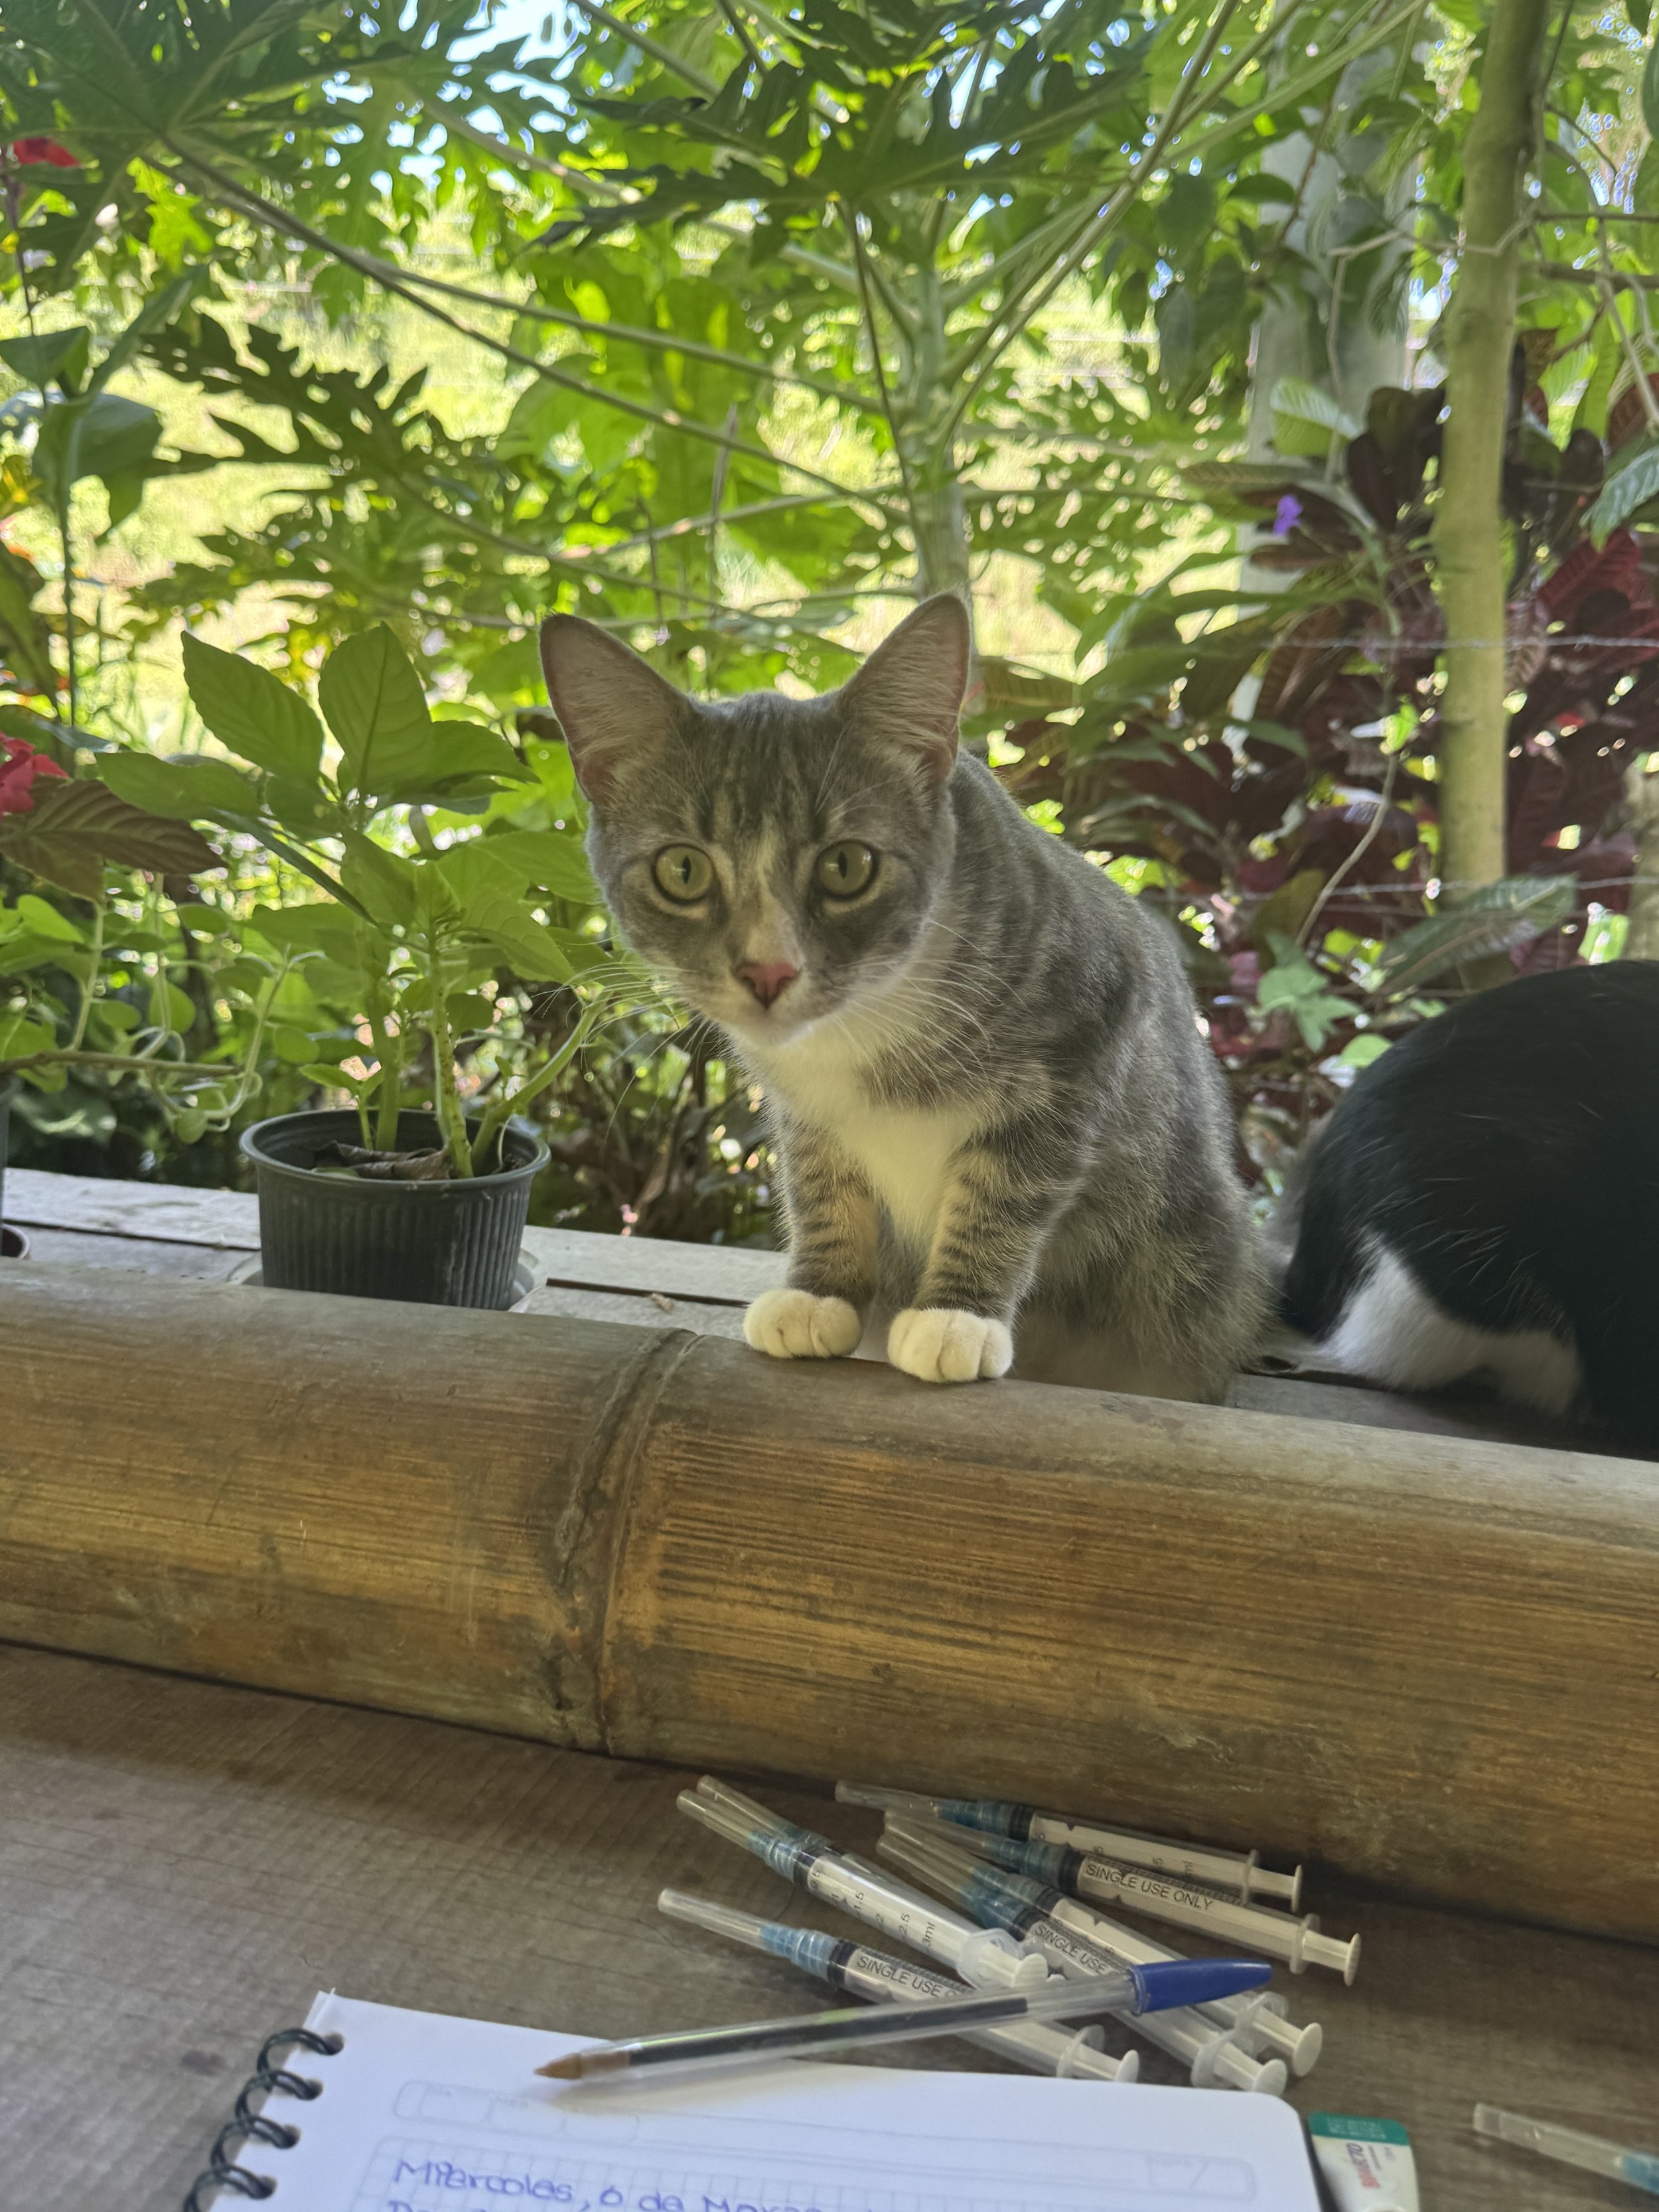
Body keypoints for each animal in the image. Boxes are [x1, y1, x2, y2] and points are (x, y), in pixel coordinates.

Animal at [539, 593, 1268, 1395]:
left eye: (847, 865)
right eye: (683, 871)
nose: (769, 972)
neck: (862, 1022)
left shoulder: (1090, 1023)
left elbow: (1007, 1185)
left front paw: (956, 1316)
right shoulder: (803, 1105)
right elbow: (820, 1182)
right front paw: (819, 1293)